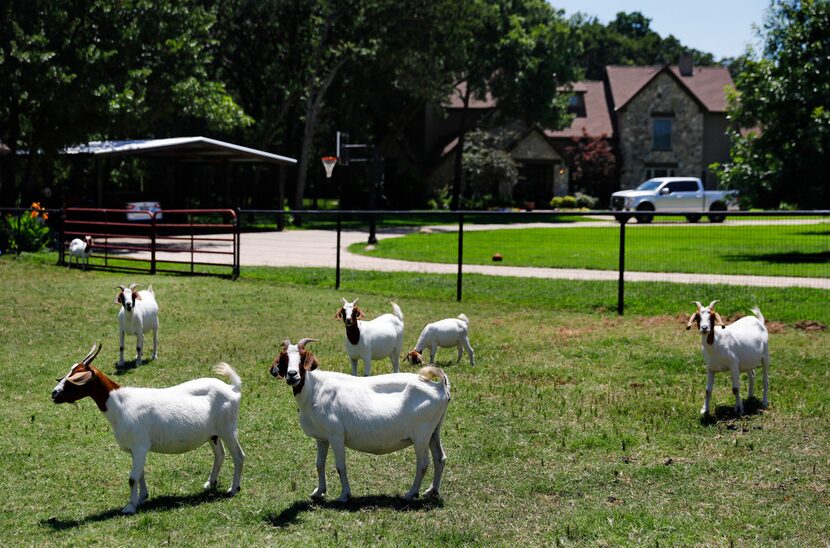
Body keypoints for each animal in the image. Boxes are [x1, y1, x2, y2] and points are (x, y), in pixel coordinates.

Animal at [272, 340, 456, 504]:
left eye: (302, 357)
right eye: (285, 358)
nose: (292, 375)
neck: (314, 390)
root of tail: (440, 387)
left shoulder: (336, 435)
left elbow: (340, 466)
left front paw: (344, 496)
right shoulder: (322, 438)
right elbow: (319, 464)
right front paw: (318, 492)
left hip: (421, 434)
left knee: (423, 463)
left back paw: (410, 494)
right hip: (434, 431)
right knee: (440, 458)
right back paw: (432, 491)